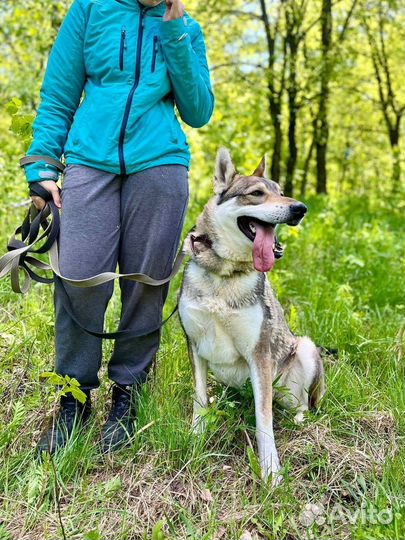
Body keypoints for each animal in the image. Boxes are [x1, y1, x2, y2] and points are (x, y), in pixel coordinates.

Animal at [178, 149, 324, 486]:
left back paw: (298, 418)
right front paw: (196, 437)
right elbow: (199, 399)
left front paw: (270, 469)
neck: (224, 274)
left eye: (281, 191)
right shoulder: (194, 343)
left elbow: (263, 419)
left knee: (301, 405)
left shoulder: (258, 353)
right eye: (257, 194)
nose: (300, 208)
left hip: (304, 350)